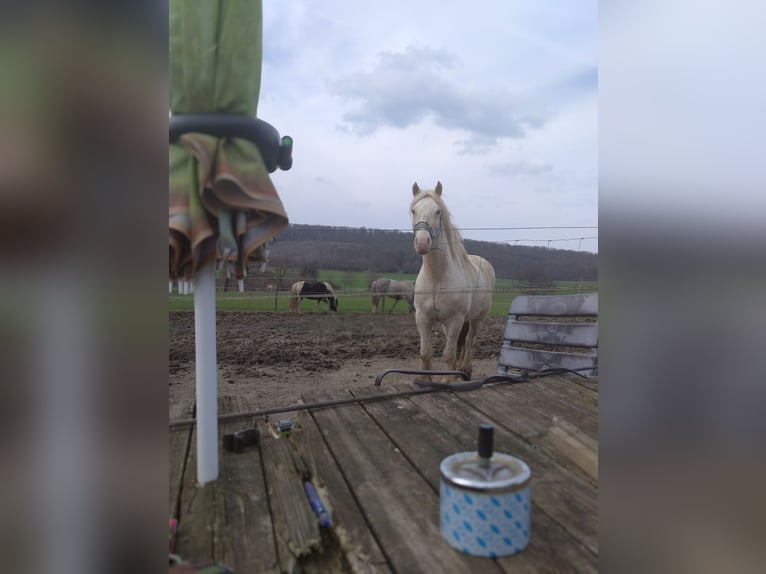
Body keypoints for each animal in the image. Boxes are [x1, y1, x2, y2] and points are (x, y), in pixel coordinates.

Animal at [414, 183, 498, 382]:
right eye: (413, 210)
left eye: (438, 211)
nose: (422, 242)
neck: (437, 278)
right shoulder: (423, 318)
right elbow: (426, 352)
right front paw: (424, 380)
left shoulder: (455, 319)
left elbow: (448, 354)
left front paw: (446, 380)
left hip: (477, 319)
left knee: (469, 341)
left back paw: (465, 371)